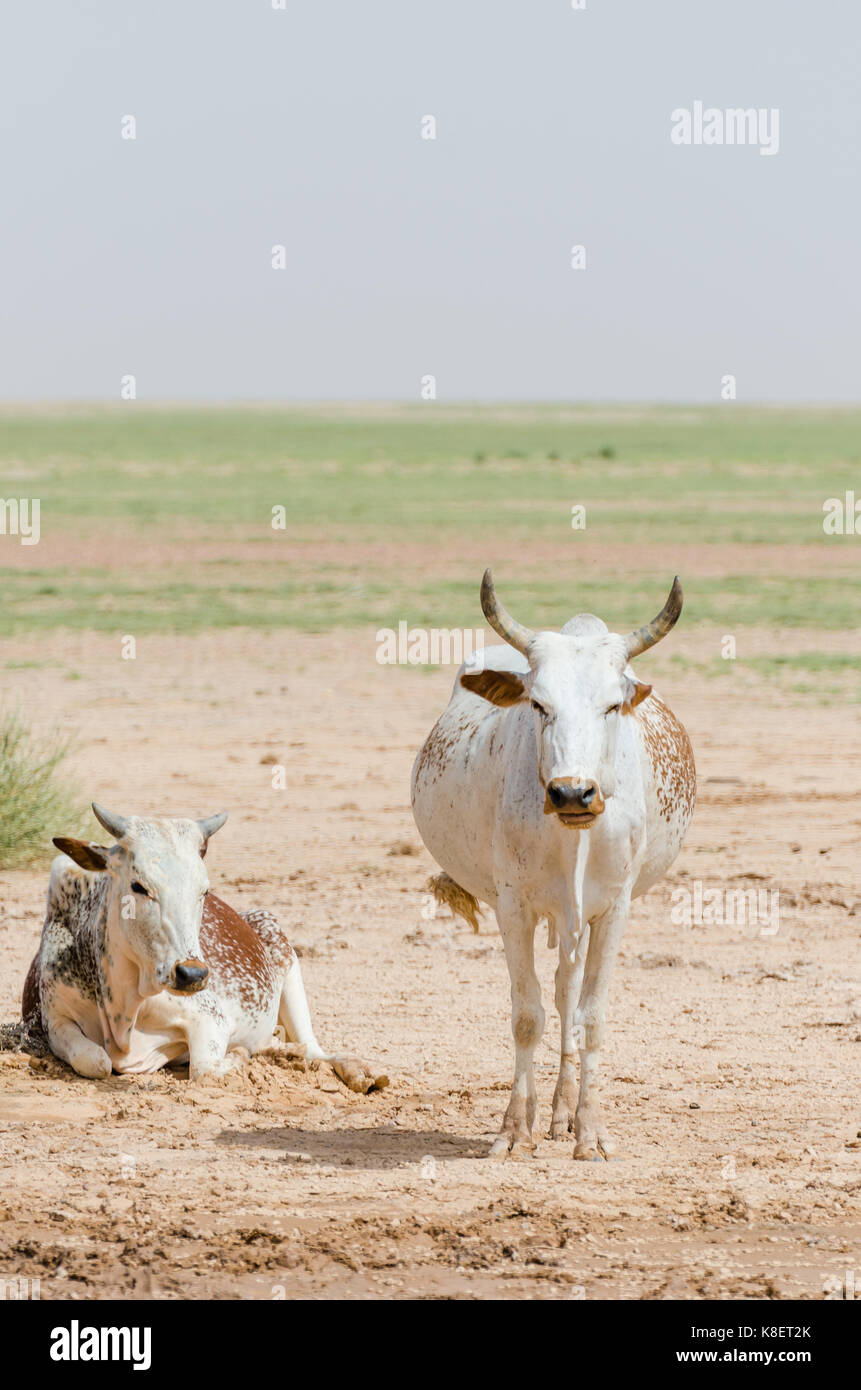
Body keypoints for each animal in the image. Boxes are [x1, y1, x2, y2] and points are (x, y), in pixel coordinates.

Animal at [22, 806, 386, 1095]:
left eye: (204, 891)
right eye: (139, 886)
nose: (192, 973)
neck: (122, 1008)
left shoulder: (210, 1017)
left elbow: (204, 1068)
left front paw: (239, 1055)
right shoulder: (54, 1020)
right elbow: (95, 1060)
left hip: (283, 949)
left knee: (312, 1048)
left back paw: (357, 1070)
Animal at [408, 569, 692, 1156]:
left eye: (612, 705)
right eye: (538, 705)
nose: (572, 793)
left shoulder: (613, 911)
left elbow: (591, 1017)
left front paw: (592, 1130)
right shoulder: (512, 907)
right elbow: (526, 1016)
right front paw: (515, 1129)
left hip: (576, 919)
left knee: (568, 997)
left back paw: (564, 1111)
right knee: (554, 998)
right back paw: (546, 1110)